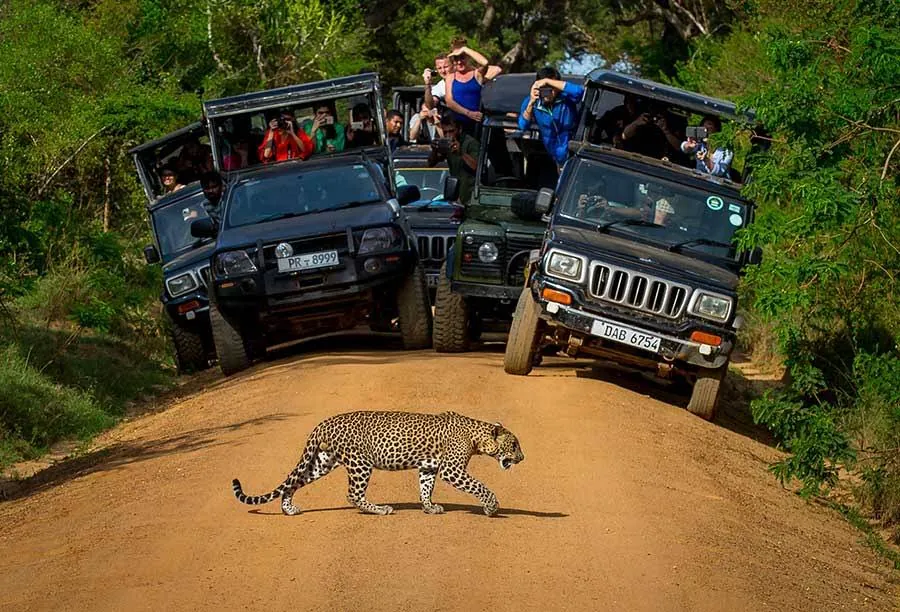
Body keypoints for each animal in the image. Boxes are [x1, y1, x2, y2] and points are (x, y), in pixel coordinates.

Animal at [231, 410, 525, 516]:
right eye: (514, 445)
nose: (522, 458)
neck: (477, 437)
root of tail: (323, 423)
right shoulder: (452, 470)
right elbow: (480, 487)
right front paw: (491, 507)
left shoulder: (428, 467)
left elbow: (425, 488)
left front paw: (429, 507)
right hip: (360, 463)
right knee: (353, 494)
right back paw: (380, 509)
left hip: (323, 461)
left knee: (295, 482)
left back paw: (289, 509)